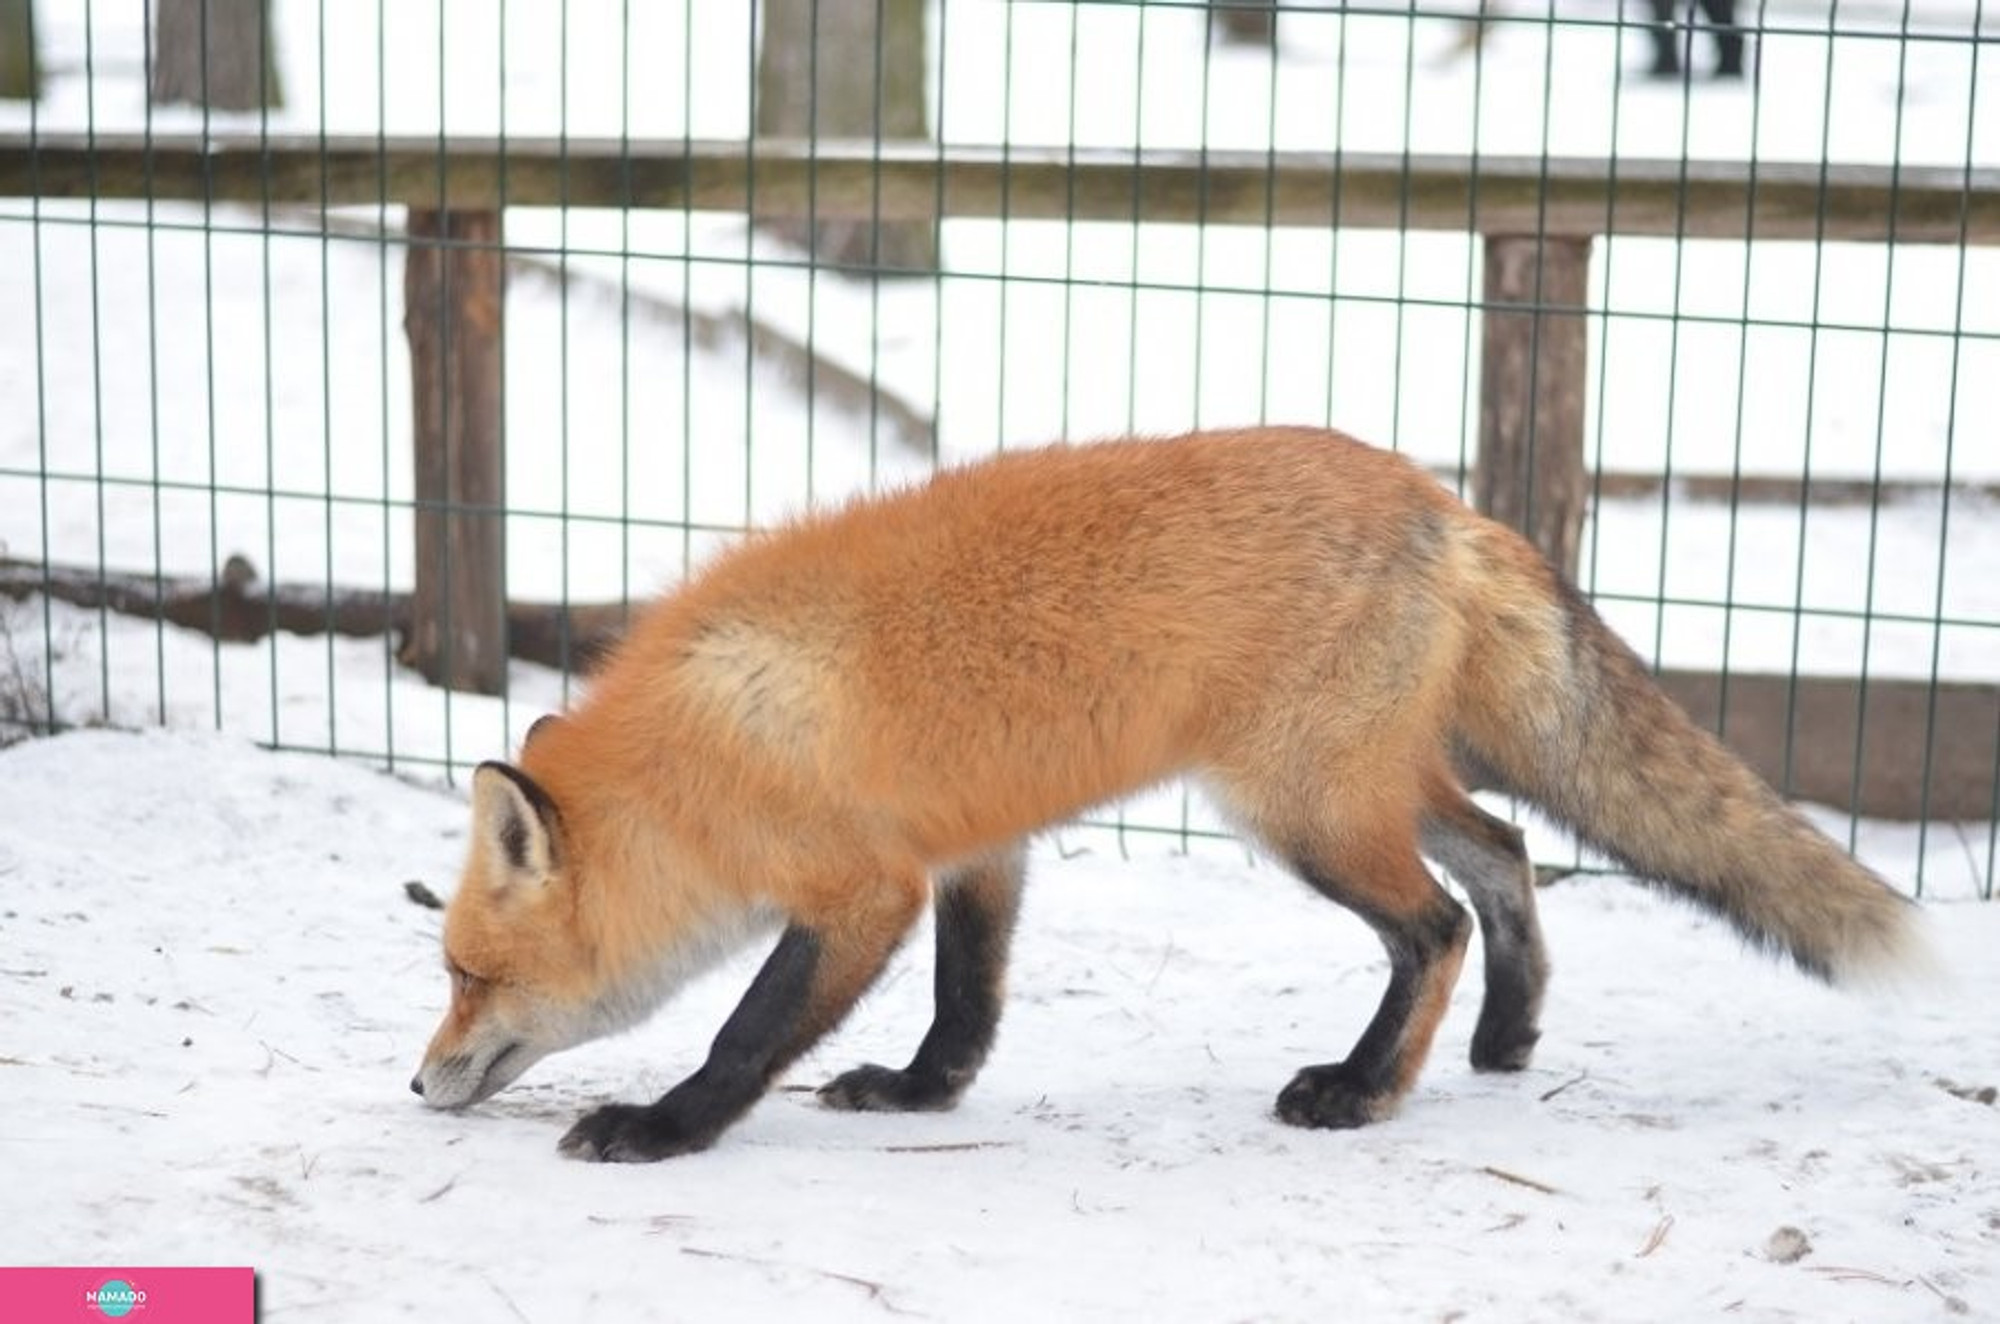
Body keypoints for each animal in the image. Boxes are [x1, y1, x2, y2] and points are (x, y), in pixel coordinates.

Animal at [414, 428, 1928, 1160]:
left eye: (471, 973)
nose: (421, 1080)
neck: (711, 750)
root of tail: (1440, 500)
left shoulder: (863, 888)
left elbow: (744, 1031)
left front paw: (661, 1130)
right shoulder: (978, 846)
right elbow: (968, 1003)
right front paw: (919, 1095)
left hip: (1301, 813)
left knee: (1434, 922)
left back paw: (1363, 1092)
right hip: (1358, 787)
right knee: (1504, 855)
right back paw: (1506, 1038)